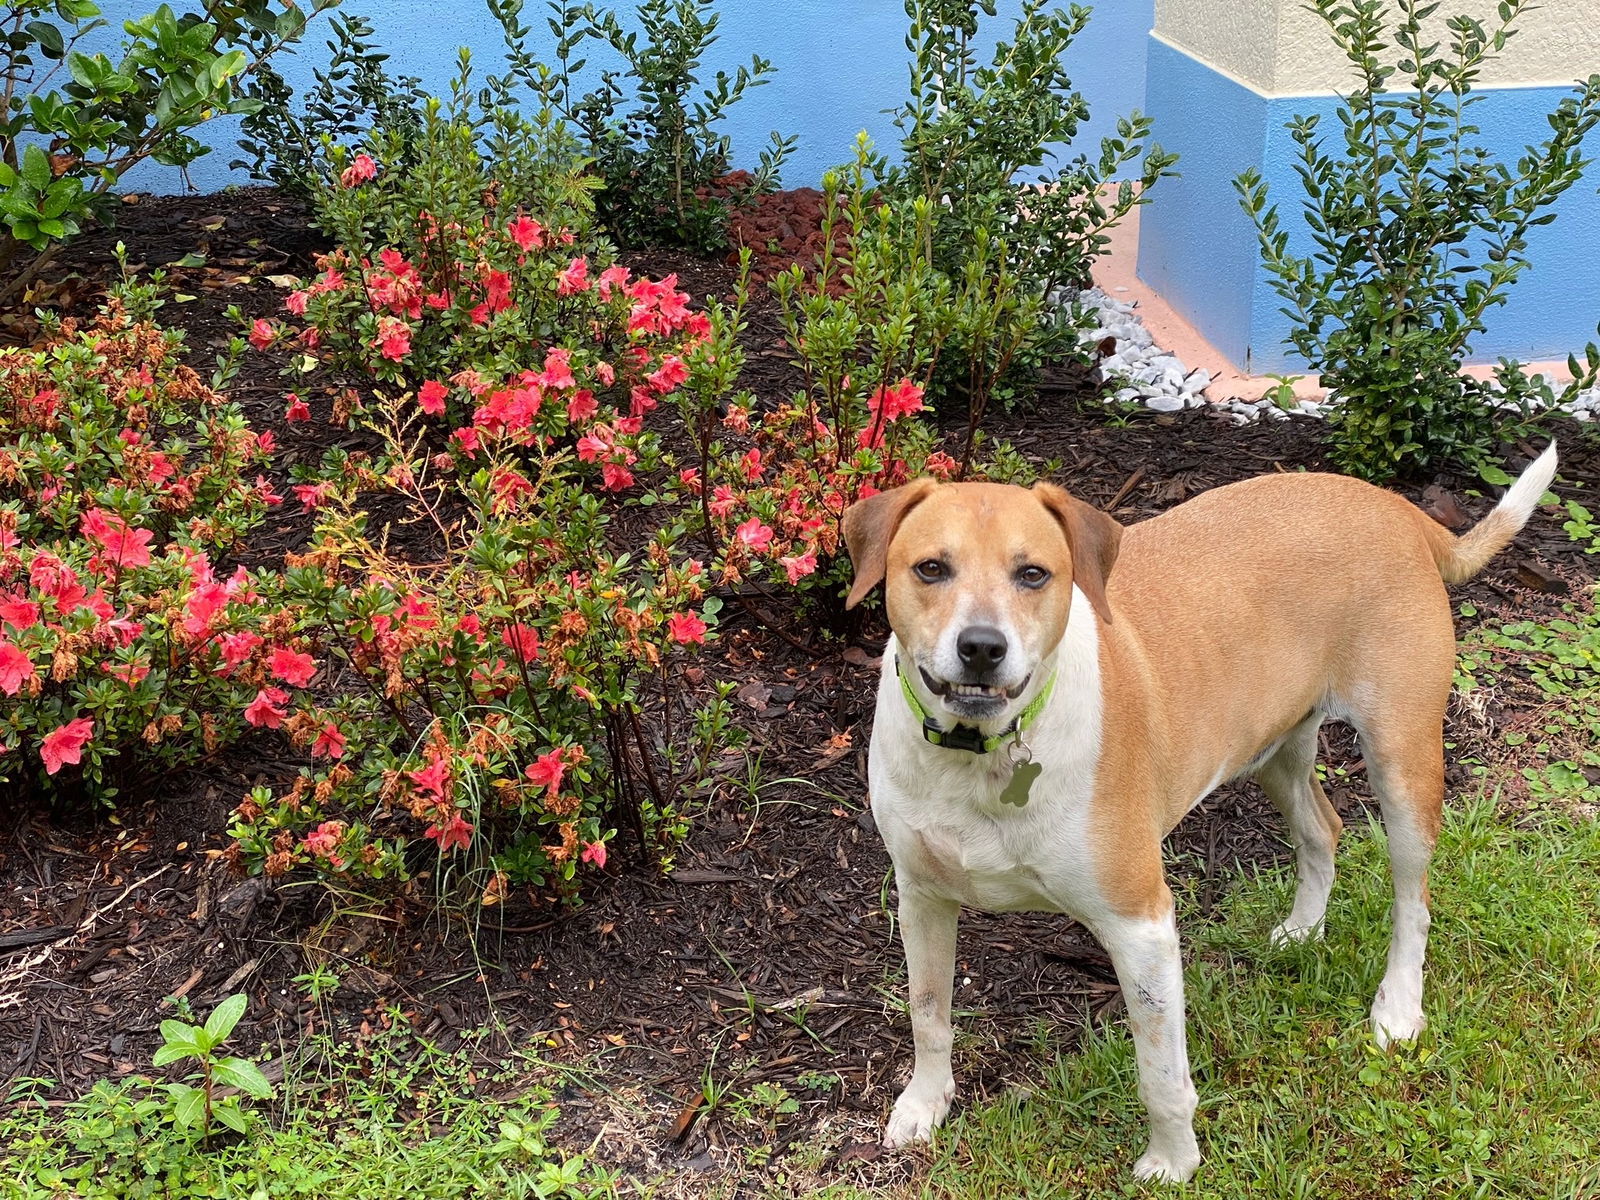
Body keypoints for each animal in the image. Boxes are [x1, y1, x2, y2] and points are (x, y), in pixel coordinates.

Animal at [844, 448, 1555, 1184]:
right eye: (931, 568)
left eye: (1033, 573)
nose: (982, 647)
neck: (981, 752)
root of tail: (1397, 508)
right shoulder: (921, 897)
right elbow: (928, 1014)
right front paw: (924, 1105)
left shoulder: (1140, 925)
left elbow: (1159, 1073)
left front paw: (1173, 1162)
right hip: (1272, 749)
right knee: (1322, 828)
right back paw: (1304, 928)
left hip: (1402, 761)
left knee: (1412, 901)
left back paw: (1397, 1008)